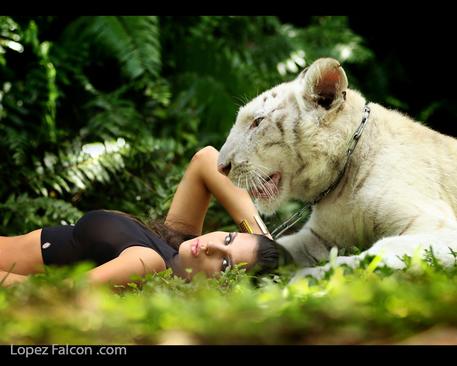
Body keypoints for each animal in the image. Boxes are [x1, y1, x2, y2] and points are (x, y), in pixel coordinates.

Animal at [216, 58, 456, 278]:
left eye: (257, 122)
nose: (220, 167)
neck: (341, 182)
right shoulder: (320, 234)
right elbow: (288, 245)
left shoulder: (436, 226)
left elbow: (374, 255)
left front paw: (308, 278)